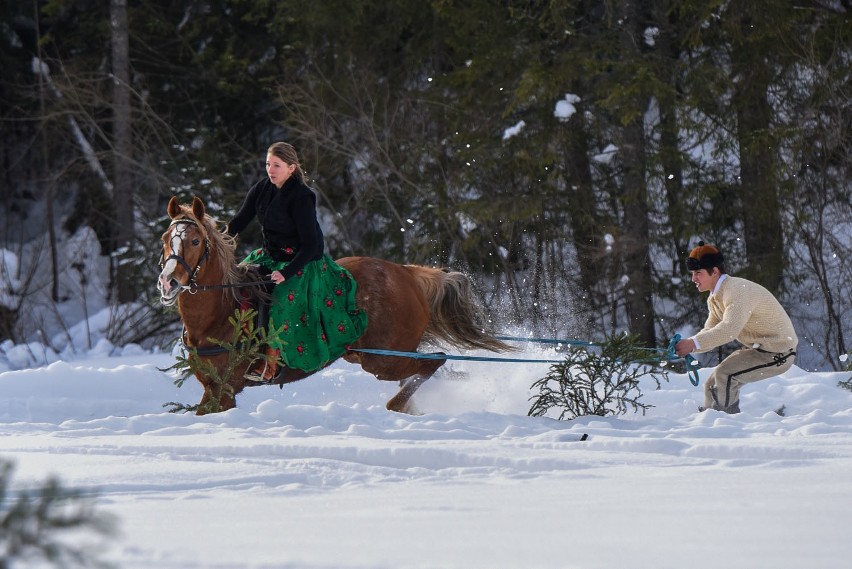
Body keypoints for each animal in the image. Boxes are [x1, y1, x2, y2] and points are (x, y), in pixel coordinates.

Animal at [156, 197, 510, 414]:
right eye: (165, 239)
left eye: (196, 241)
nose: (168, 282)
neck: (222, 312)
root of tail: (408, 272)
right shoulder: (213, 388)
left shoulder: (225, 390)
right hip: (380, 355)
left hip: (383, 359)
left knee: (434, 362)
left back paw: (397, 405)